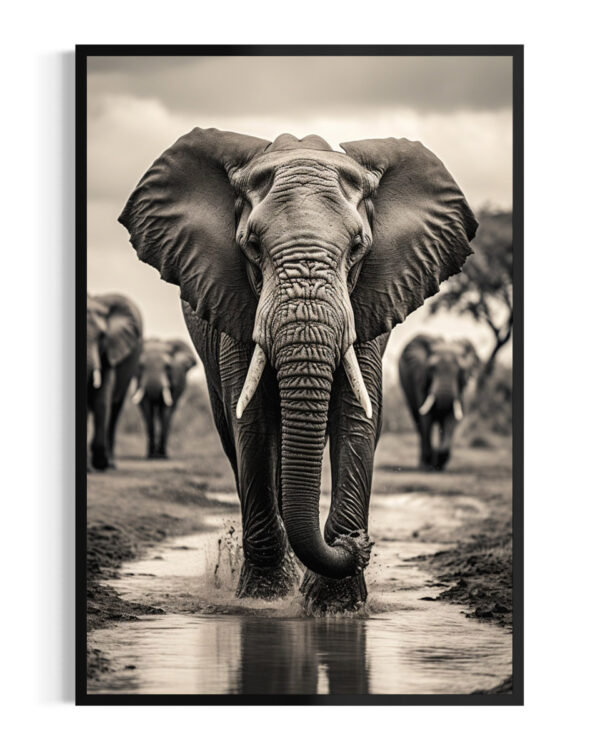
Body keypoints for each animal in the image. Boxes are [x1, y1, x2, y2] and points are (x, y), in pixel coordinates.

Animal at [87, 293, 143, 470]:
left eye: (102, 336)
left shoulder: (110, 351)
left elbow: (102, 399)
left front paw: (100, 463)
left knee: (114, 410)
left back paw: (110, 464)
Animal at [399, 334, 480, 470]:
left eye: (461, 370)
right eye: (432, 368)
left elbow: (452, 418)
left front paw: (438, 462)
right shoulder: (421, 379)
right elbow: (426, 417)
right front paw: (429, 464)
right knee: (418, 422)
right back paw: (423, 464)